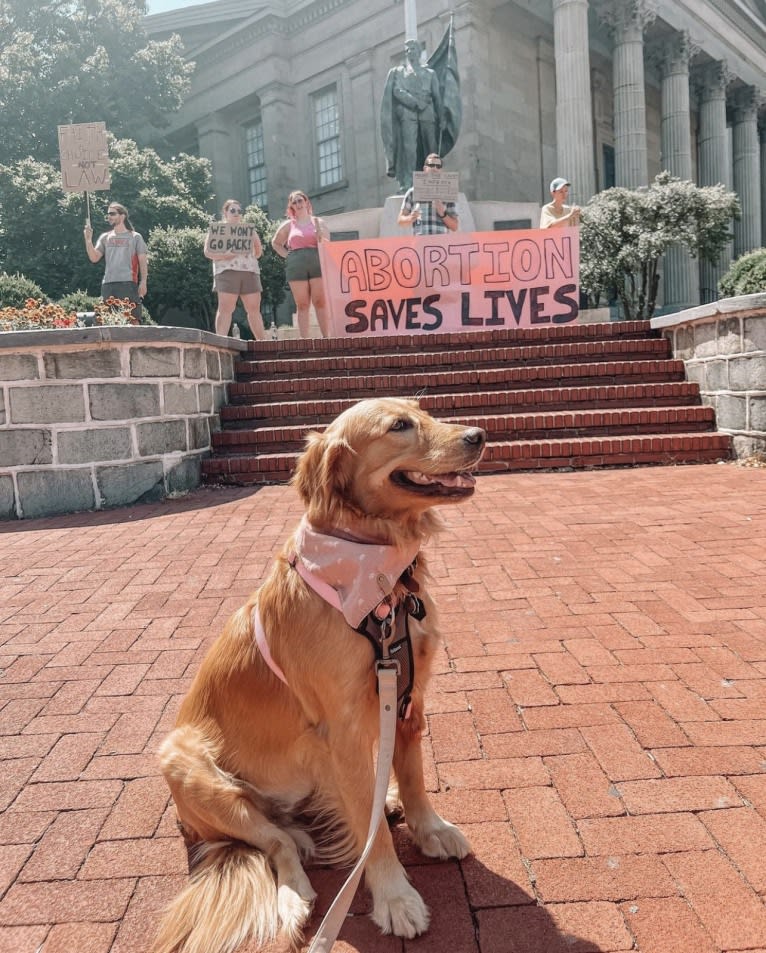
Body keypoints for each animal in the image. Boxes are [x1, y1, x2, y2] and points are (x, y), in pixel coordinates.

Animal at [152, 396, 486, 952]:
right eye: (399, 426)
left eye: (423, 410)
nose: (479, 436)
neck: (381, 584)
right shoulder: (346, 730)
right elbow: (374, 841)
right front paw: (395, 897)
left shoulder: (409, 700)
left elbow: (414, 779)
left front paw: (429, 827)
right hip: (186, 764)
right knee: (279, 843)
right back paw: (293, 894)